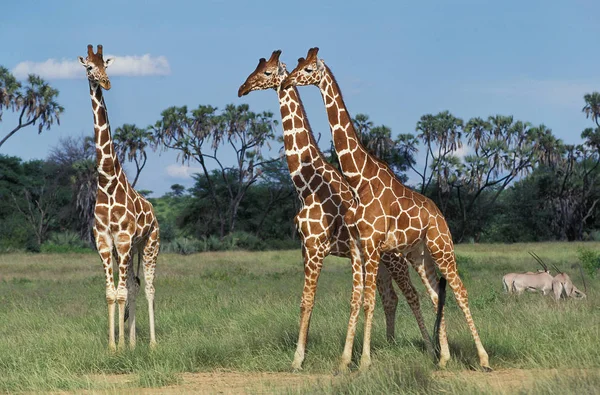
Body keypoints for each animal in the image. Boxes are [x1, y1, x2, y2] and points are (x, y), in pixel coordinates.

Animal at [78, 44, 161, 352]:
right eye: (90, 67)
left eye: (107, 65)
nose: (106, 82)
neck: (107, 180)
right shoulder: (105, 242)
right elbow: (111, 293)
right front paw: (114, 346)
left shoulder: (124, 240)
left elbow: (122, 292)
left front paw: (122, 346)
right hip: (132, 249)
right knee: (135, 285)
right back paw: (135, 341)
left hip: (150, 245)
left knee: (147, 287)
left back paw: (151, 343)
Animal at [239, 50, 436, 372]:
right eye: (256, 67)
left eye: (267, 72)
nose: (242, 89)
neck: (306, 186)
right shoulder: (305, 246)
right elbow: (309, 300)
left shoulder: (317, 246)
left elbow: (308, 300)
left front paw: (298, 359)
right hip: (380, 260)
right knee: (390, 297)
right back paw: (389, 344)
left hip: (393, 258)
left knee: (410, 294)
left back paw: (429, 349)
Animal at [284, 48, 490, 372]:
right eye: (296, 65)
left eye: (307, 69)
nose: (287, 81)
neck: (359, 181)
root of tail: (440, 215)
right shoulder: (360, 247)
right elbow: (361, 300)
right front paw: (347, 361)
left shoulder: (371, 246)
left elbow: (370, 301)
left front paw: (364, 361)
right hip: (419, 254)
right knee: (436, 294)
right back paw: (443, 358)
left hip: (441, 247)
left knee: (459, 290)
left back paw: (483, 358)